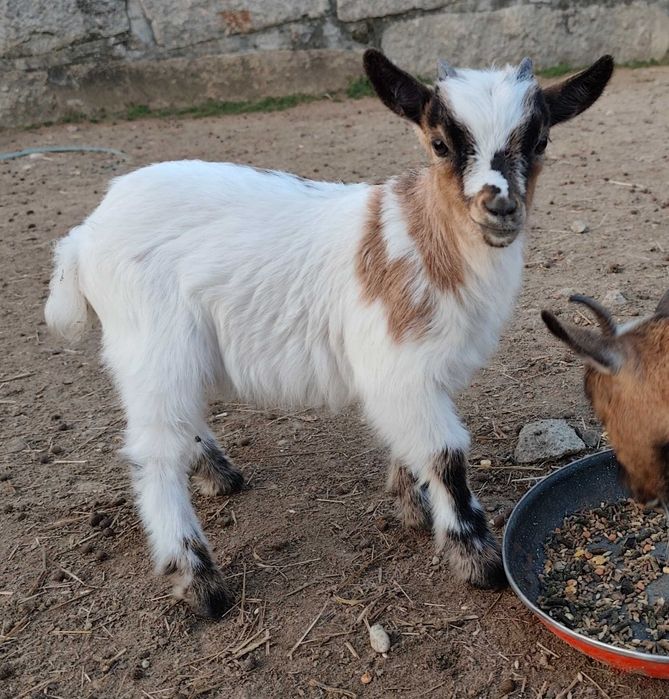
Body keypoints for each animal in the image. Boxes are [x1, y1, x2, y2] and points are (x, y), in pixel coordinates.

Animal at [45, 49, 613, 618]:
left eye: (540, 141)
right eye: (440, 143)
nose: (499, 208)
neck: (426, 239)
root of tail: (84, 235)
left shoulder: (415, 375)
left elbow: (411, 440)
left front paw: (412, 506)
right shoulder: (397, 364)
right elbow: (445, 455)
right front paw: (477, 559)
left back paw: (217, 473)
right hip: (153, 344)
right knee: (156, 452)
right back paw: (198, 578)